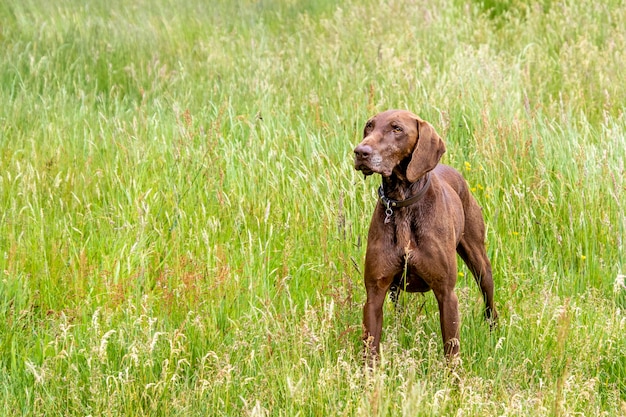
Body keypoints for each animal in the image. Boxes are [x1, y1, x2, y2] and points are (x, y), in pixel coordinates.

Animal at [356, 109, 492, 360]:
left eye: (397, 128)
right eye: (369, 126)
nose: (360, 152)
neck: (402, 203)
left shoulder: (446, 294)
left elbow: (451, 350)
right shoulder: (375, 293)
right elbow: (370, 349)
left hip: (480, 263)